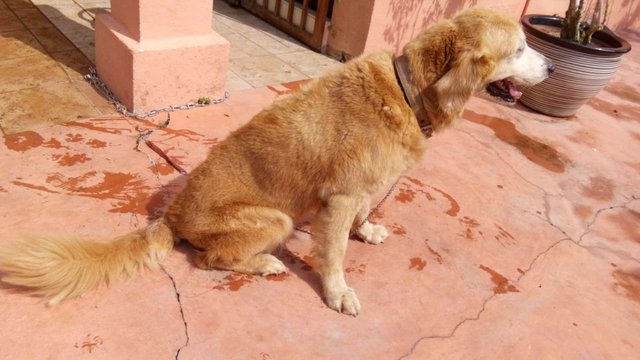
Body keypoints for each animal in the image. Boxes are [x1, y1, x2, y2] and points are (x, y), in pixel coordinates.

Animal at [0, 7, 552, 316]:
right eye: (520, 48)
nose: (550, 65)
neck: (407, 89)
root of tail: (172, 215)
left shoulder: (361, 191)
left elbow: (365, 213)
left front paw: (367, 230)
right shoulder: (339, 199)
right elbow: (334, 254)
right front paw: (337, 292)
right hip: (277, 220)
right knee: (208, 259)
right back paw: (263, 263)